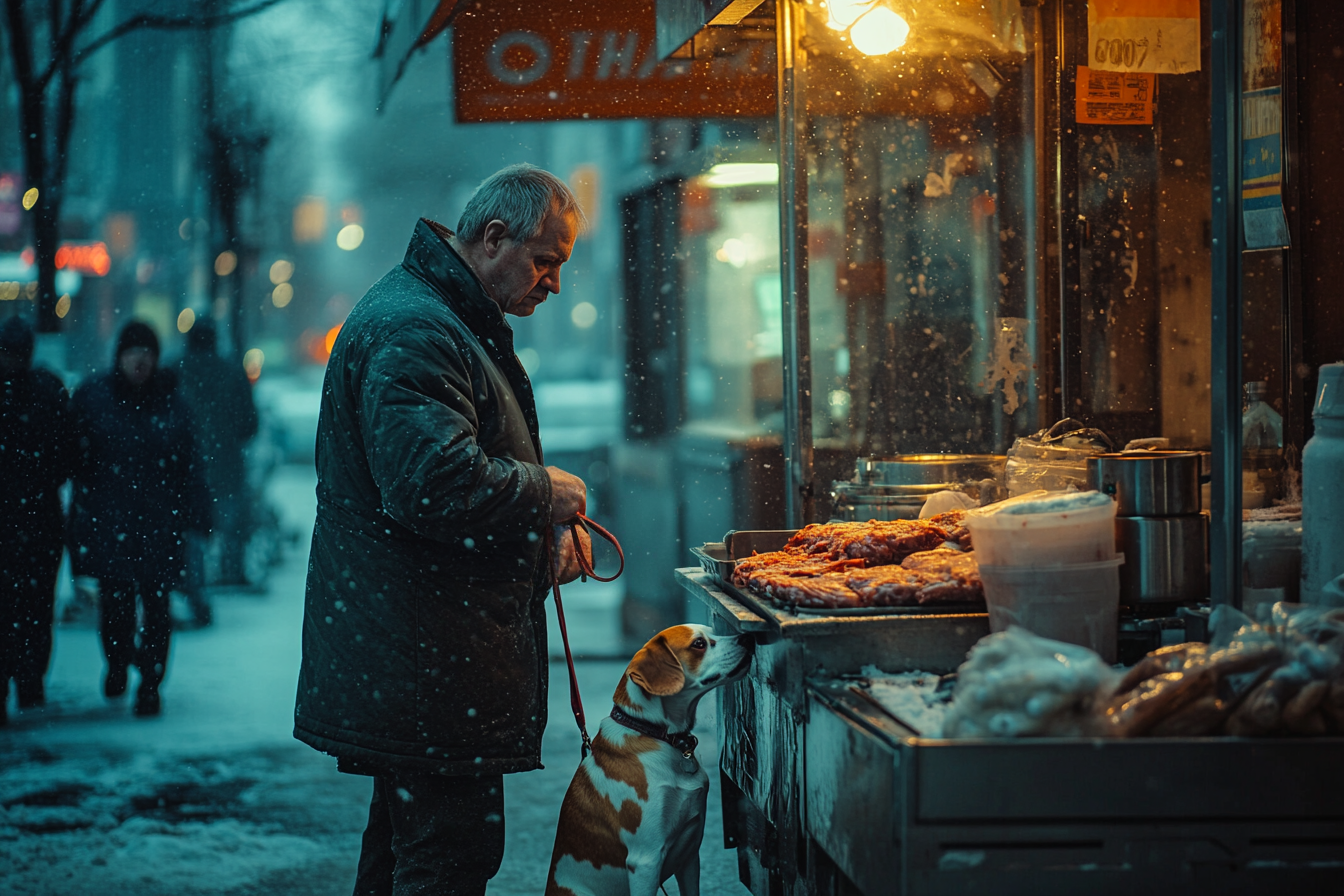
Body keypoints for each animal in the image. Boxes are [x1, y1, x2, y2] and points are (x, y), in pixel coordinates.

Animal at [545, 623, 758, 896]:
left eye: (713, 632)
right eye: (699, 644)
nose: (749, 638)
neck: (655, 733)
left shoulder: (690, 856)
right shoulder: (645, 861)